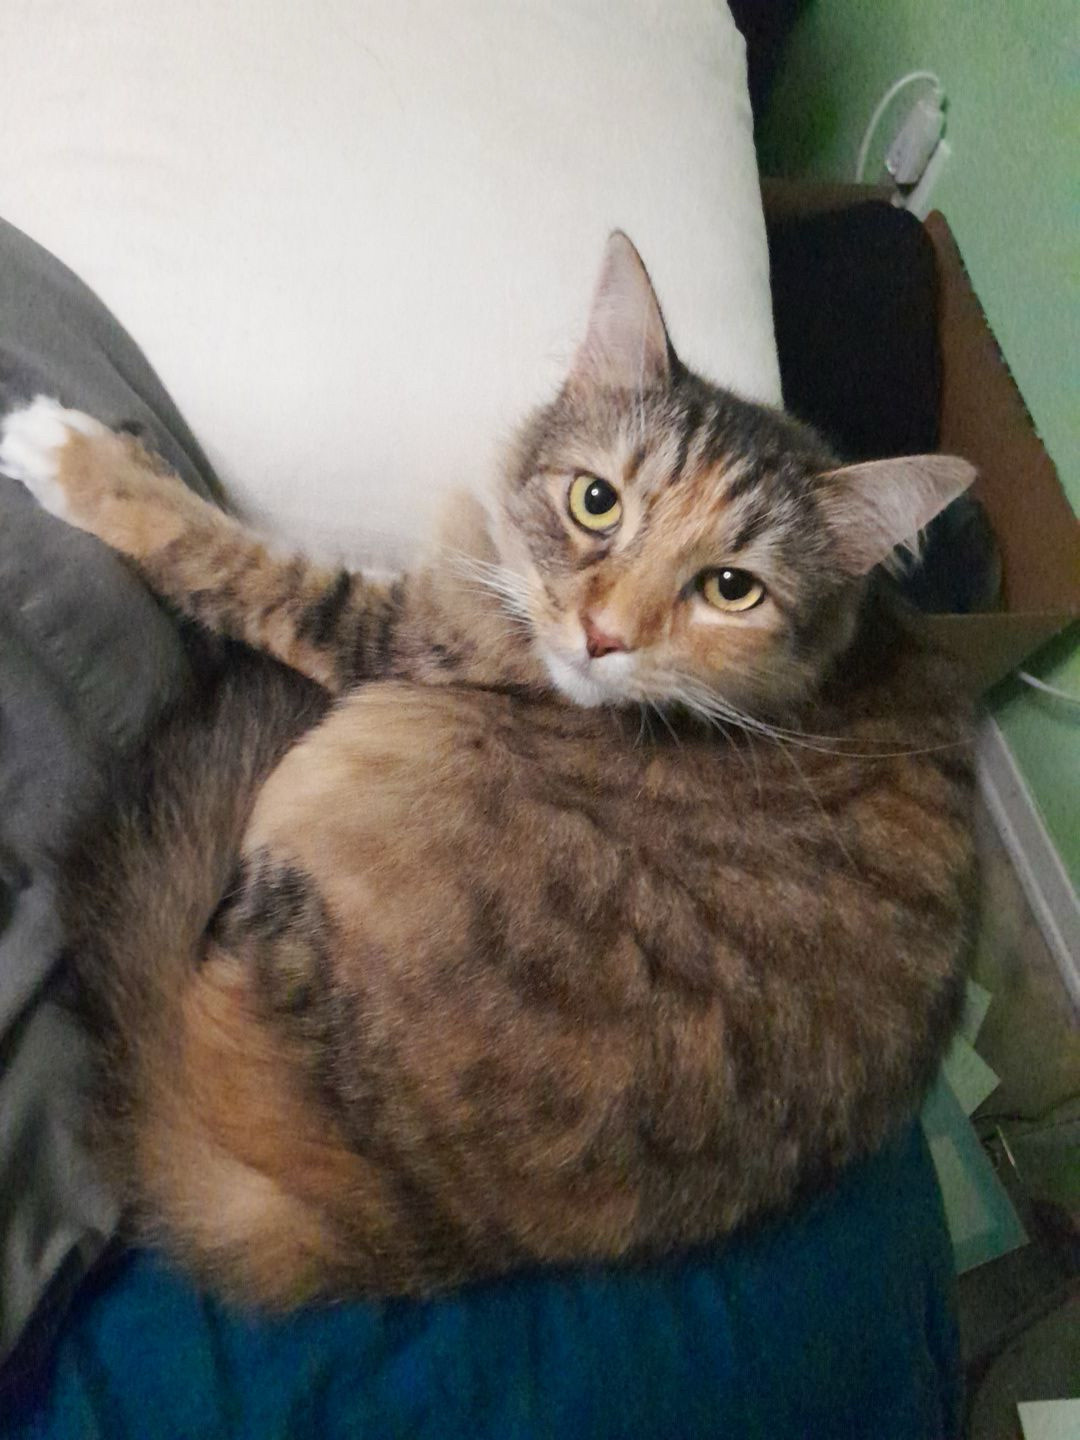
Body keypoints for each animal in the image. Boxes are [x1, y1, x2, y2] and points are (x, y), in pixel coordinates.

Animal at [0, 233, 979, 1307]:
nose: (602, 636)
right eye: (596, 503)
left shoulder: (397, 637)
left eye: (732, 589)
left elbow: (233, 556)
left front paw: (78, 460)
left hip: (370, 748)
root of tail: (404, 1224)